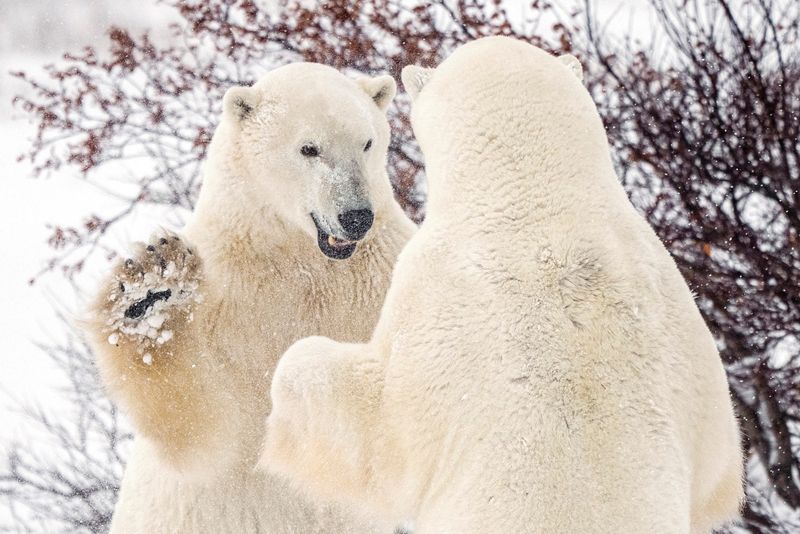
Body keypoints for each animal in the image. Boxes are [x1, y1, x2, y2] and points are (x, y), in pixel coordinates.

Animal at [84, 63, 416, 534]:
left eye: (367, 142)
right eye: (309, 148)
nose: (356, 216)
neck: (303, 261)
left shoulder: (384, 273)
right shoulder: (224, 298)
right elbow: (201, 430)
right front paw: (147, 293)